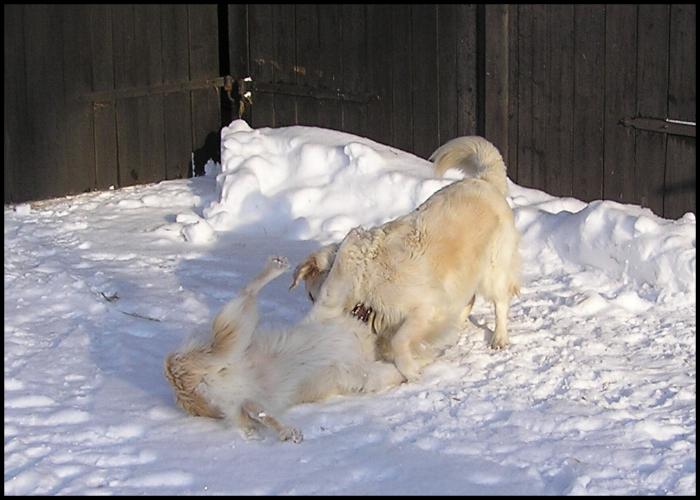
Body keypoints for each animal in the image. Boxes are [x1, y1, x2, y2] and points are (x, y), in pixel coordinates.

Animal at [164, 258, 402, 442]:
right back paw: (274, 268)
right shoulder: (330, 311)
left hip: (243, 395)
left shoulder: (357, 370)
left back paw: (285, 431)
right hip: (233, 337)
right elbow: (336, 279)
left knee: (254, 410)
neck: (355, 334)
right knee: (247, 290)